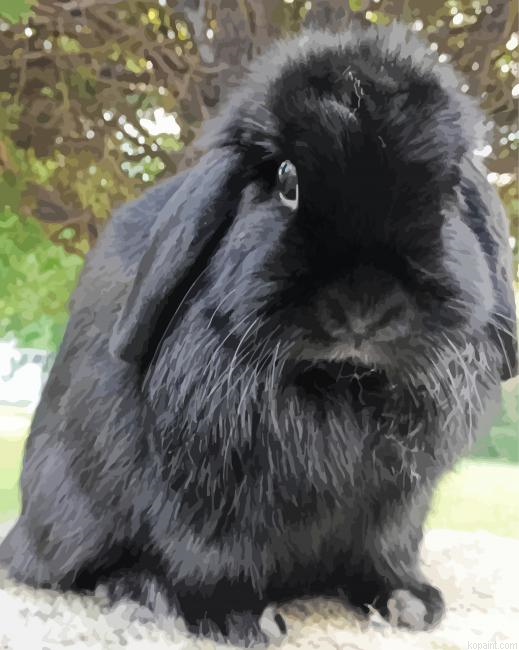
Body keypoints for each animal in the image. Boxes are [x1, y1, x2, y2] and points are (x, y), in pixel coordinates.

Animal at [1, 21, 517, 647]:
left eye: (446, 194)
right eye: (287, 180)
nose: (364, 309)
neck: (340, 386)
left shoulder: (396, 508)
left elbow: (384, 555)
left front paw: (410, 603)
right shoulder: (204, 502)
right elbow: (209, 560)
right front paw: (243, 621)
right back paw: (135, 593)